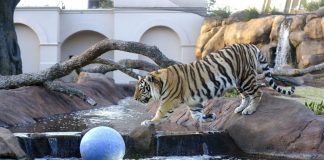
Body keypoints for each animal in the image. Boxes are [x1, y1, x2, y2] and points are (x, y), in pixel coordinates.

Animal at [133, 43, 294, 126]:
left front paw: (149, 121)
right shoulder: (194, 102)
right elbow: (196, 115)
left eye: (141, 89)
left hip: (246, 78)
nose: (134, 98)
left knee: (257, 93)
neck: (161, 81)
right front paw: (209, 117)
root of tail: (251, 46)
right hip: (239, 82)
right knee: (246, 96)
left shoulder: (169, 101)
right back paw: (240, 108)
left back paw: (250, 110)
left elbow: (160, 112)